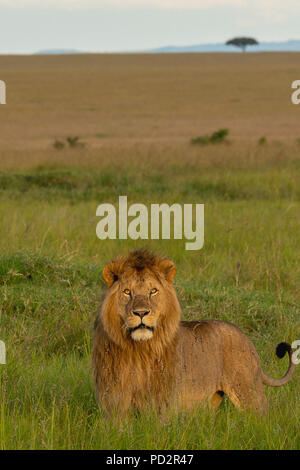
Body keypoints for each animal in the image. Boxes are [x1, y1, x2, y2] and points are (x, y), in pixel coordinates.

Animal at [92, 250, 296, 414]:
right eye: (127, 292)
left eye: (153, 291)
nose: (141, 313)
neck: (138, 349)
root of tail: (247, 338)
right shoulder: (113, 398)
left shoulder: (162, 400)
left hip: (248, 394)